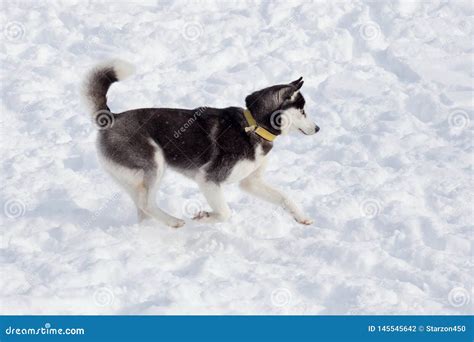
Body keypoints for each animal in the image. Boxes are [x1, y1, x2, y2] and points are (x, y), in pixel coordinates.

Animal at [83, 60, 320, 228]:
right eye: (302, 111)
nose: (318, 129)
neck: (255, 126)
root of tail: (112, 118)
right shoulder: (208, 179)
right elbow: (224, 213)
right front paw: (205, 216)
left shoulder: (250, 182)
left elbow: (285, 197)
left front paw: (302, 218)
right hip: (155, 163)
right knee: (147, 204)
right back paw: (174, 222)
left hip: (133, 179)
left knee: (143, 207)